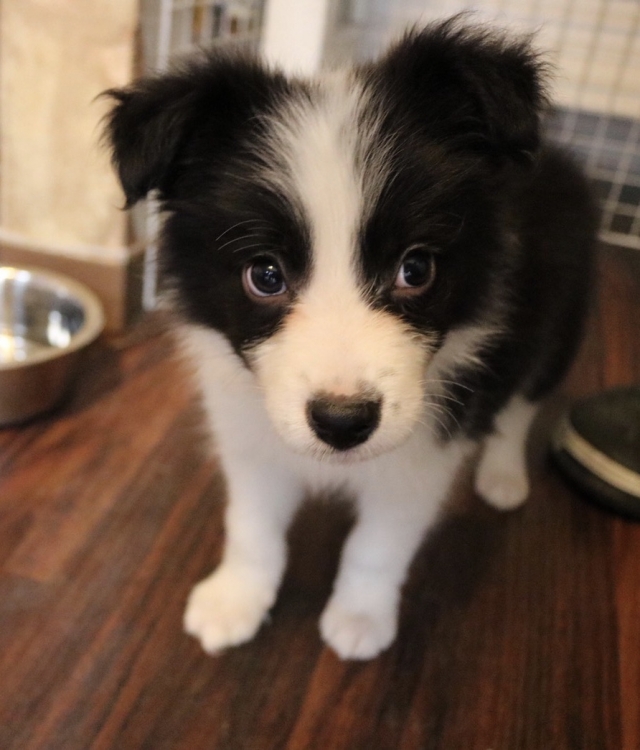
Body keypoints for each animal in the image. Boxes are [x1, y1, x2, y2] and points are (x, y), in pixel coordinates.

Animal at [105, 17, 597, 660]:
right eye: (265, 275)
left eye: (416, 269)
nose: (343, 422)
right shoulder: (249, 430)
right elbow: (252, 523)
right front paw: (235, 598)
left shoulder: (425, 449)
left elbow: (380, 543)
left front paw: (360, 618)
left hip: (560, 316)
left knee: (522, 401)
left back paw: (504, 475)